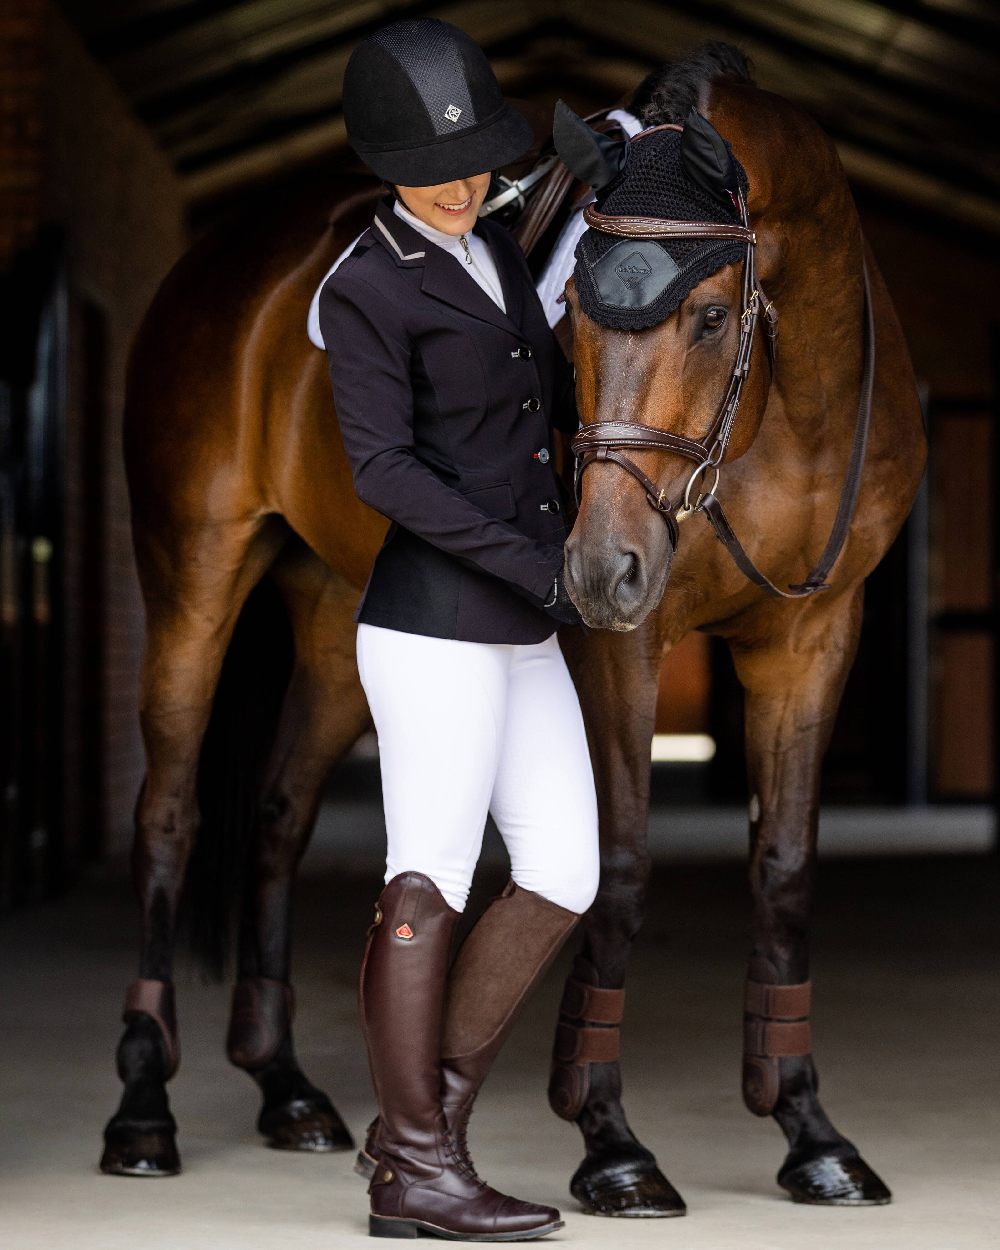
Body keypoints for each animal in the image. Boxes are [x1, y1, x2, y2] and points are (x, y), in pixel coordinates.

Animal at [101, 44, 920, 1215]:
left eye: (712, 316)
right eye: (571, 311)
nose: (598, 567)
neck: (787, 409)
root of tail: (223, 261)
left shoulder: (813, 639)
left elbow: (787, 871)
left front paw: (811, 1131)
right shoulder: (623, 643)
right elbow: (619, 866)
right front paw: (612, 1141)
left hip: (334, 618)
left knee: (276, 814)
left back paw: (288, 1089)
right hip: (192, 575)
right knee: (169, 815)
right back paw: (142, 1110)